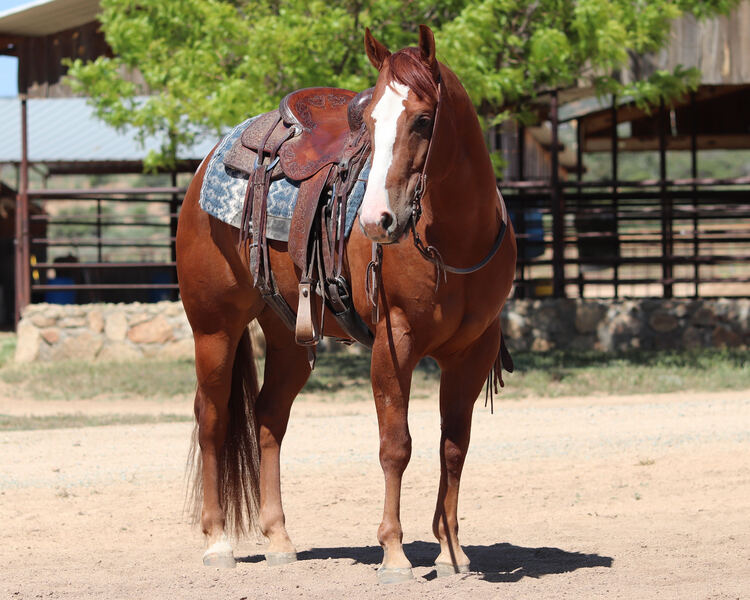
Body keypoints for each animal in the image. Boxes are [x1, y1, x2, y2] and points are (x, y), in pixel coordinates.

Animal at [176, 25, 516, 584]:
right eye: (370, 122)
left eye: (424, 119)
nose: (377, 221)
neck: (453, 243)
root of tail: (213, 158)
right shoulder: (394, 342)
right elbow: (395, 445)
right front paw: (395, 554)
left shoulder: (472, 351)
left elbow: (454, 447)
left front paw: (451, 553)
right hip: (214, 329)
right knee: (212, 419)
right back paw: (218, 542)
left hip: (289, 335)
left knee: (268, 418)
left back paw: (279, 539)